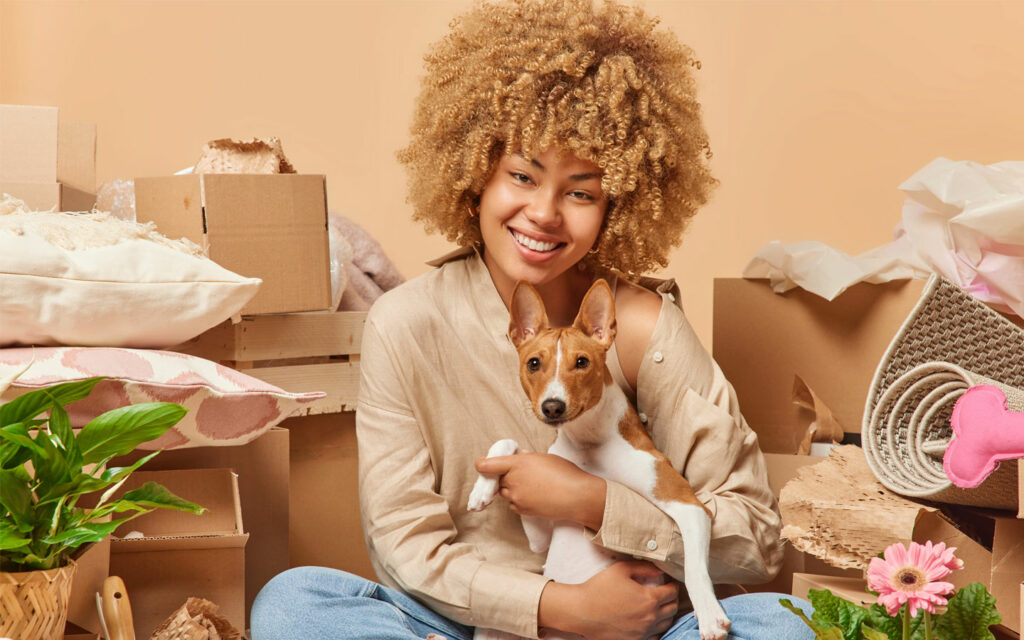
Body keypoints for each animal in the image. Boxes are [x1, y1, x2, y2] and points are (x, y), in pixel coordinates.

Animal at [468, 278, 733, 638]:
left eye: (582, 362)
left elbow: (693, 567)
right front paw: (482, 487)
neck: (587, 442)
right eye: (533, 363)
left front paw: (708, 614)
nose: (553, 407)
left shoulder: (688, 505)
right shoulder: (540, 536)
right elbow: (507, 441)